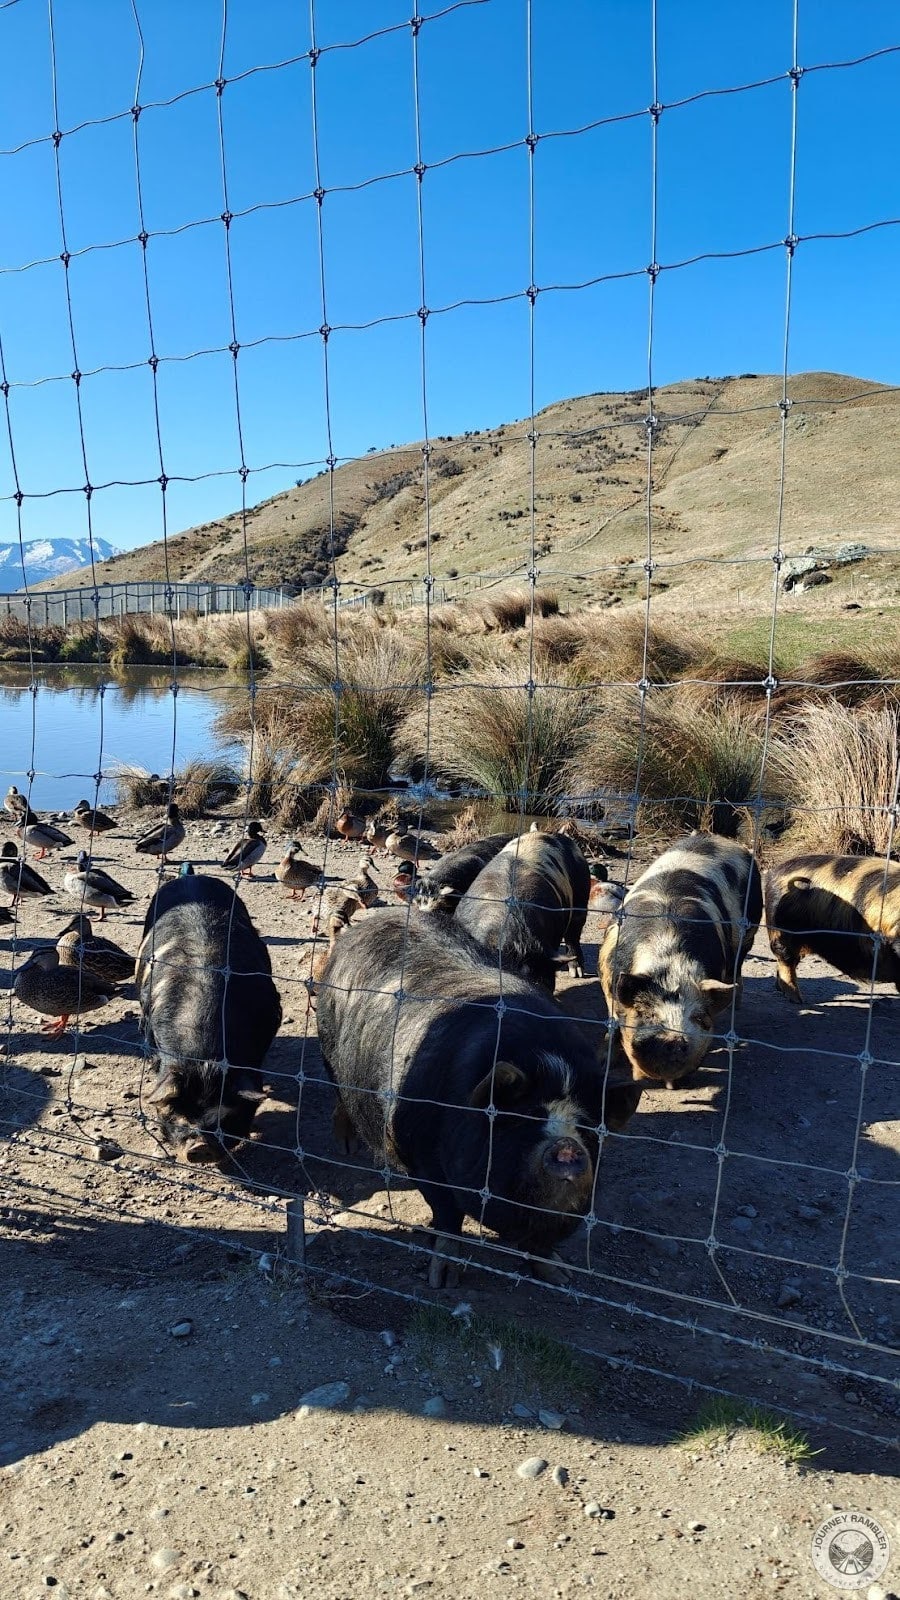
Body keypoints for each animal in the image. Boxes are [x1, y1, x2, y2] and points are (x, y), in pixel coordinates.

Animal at [315, 907, 640, 1286]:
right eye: (525, 1119)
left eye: (586, 1128)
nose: (566, 1146)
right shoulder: (421, 1157)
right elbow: (447, 1216)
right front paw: (442, 1280)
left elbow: (541, 1242)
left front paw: (560, 1276)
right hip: (328, 1049)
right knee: (339, 1095)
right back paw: (346, 1147)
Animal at [600, 833, 762, 1088]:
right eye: (647, 1014)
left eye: (698, 1017)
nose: (674, 1040)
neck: (669, 957)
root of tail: (718, 837)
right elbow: (613, 1021)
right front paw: (604, 1062)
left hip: (751, 931)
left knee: (738, 969)